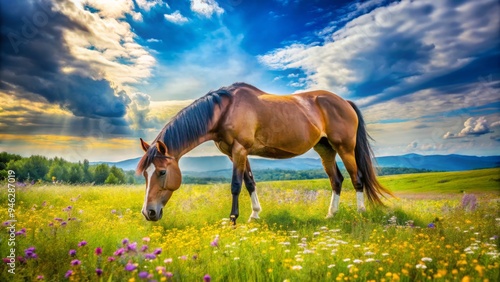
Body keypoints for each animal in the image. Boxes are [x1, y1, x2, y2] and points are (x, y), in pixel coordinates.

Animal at [137, 82, 394, 224]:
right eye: (145, 174)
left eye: (161, 172)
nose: (148, 212)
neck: (225, 110)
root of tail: (344, 102)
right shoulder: (236, 153)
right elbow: (250, 183)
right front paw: (255, 215)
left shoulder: (239, 150)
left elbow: (236, 185)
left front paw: (233, 220)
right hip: (325, 149)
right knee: (337, 180)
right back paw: (331, 215)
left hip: (345, 148)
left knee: (356, 178)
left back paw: (360, 213)